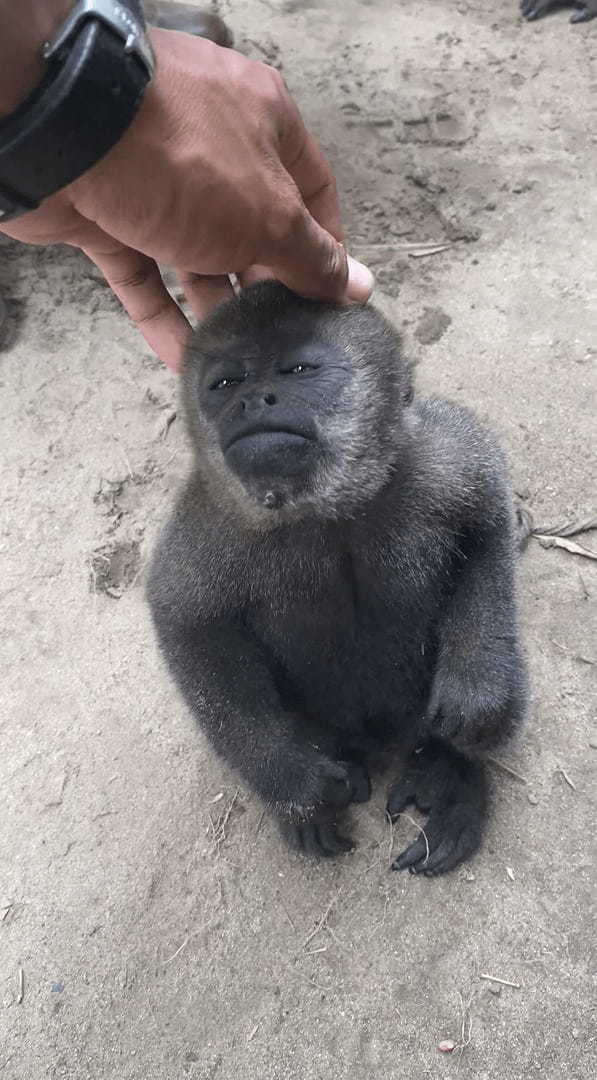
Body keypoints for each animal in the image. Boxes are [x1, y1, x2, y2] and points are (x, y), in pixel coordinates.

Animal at [147, 282, 526, 872]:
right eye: (225, 383)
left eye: (299, 369)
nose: (251, 401)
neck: (325, 512)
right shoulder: (209, 519)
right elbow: (183, 618)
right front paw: (292, 778)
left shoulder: (434, 456)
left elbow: (487, 510)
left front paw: (478, 685)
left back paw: (450, 772)